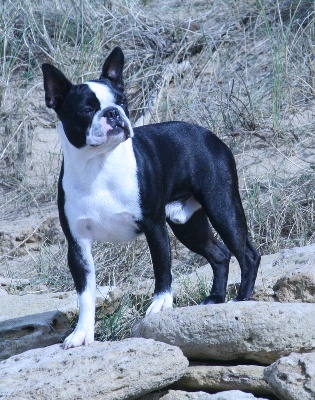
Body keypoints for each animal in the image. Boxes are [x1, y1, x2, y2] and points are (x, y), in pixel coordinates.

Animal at [42, 46, 262, 346]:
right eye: (87, 109)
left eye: (123, 101)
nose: (113, 113)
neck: (98, 166)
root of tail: (209, 135)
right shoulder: (78, 244)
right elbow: (86, 293)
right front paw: (81, 334)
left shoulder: (153, 225)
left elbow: (162, 267)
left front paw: (160, 305)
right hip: (187, 223)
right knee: (219, 254)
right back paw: (215, 298)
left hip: (222, 206)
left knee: (247, 254)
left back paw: (240, 299)